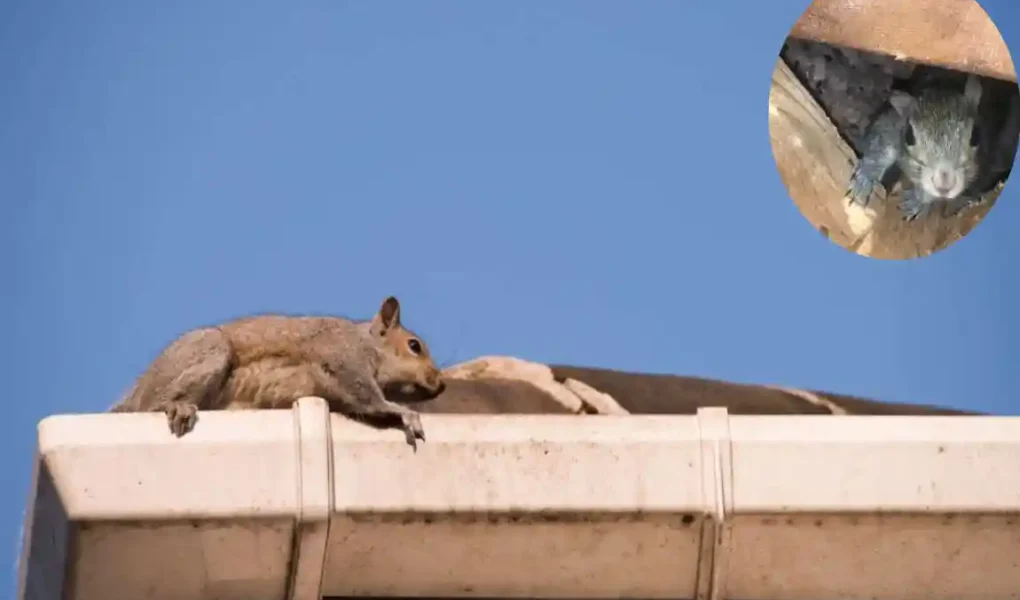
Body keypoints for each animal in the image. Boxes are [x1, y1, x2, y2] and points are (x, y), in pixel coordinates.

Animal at [110, 296, 445, 449]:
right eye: (414, 346)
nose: (440, 384)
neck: (366, 342)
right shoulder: (342, 356)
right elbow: (368, 396)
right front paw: (404, 413)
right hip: (208, 351)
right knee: (151, 405)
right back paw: (176, 406)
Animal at [845, 73, 984, 221]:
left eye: (976, 136)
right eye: (909, 136)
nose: (944, 186)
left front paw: (917, 201)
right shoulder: (892, 124)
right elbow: (880, 147)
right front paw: (864, 179)